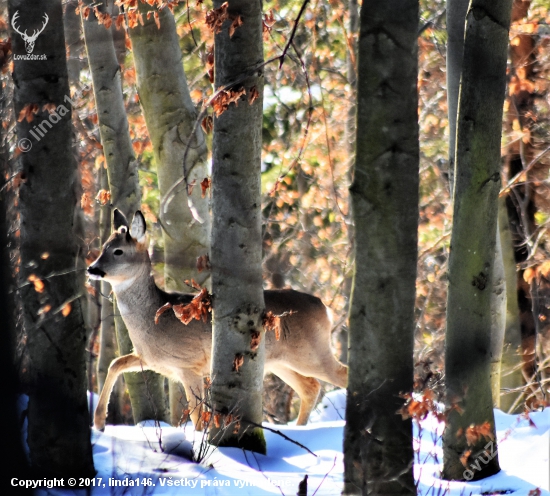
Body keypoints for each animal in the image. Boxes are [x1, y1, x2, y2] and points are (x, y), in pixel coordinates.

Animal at [89, 209, 350, 430]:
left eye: (118, 251)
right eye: (103, 247)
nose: (92, 268)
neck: (152, 321)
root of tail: (325, 308)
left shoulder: (189, 364)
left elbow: (197, 416)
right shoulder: (151, 360)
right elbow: (116, 363)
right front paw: (99, 422)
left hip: (311, 352)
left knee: (342, 375)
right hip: (280, 361)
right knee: (310, 387)